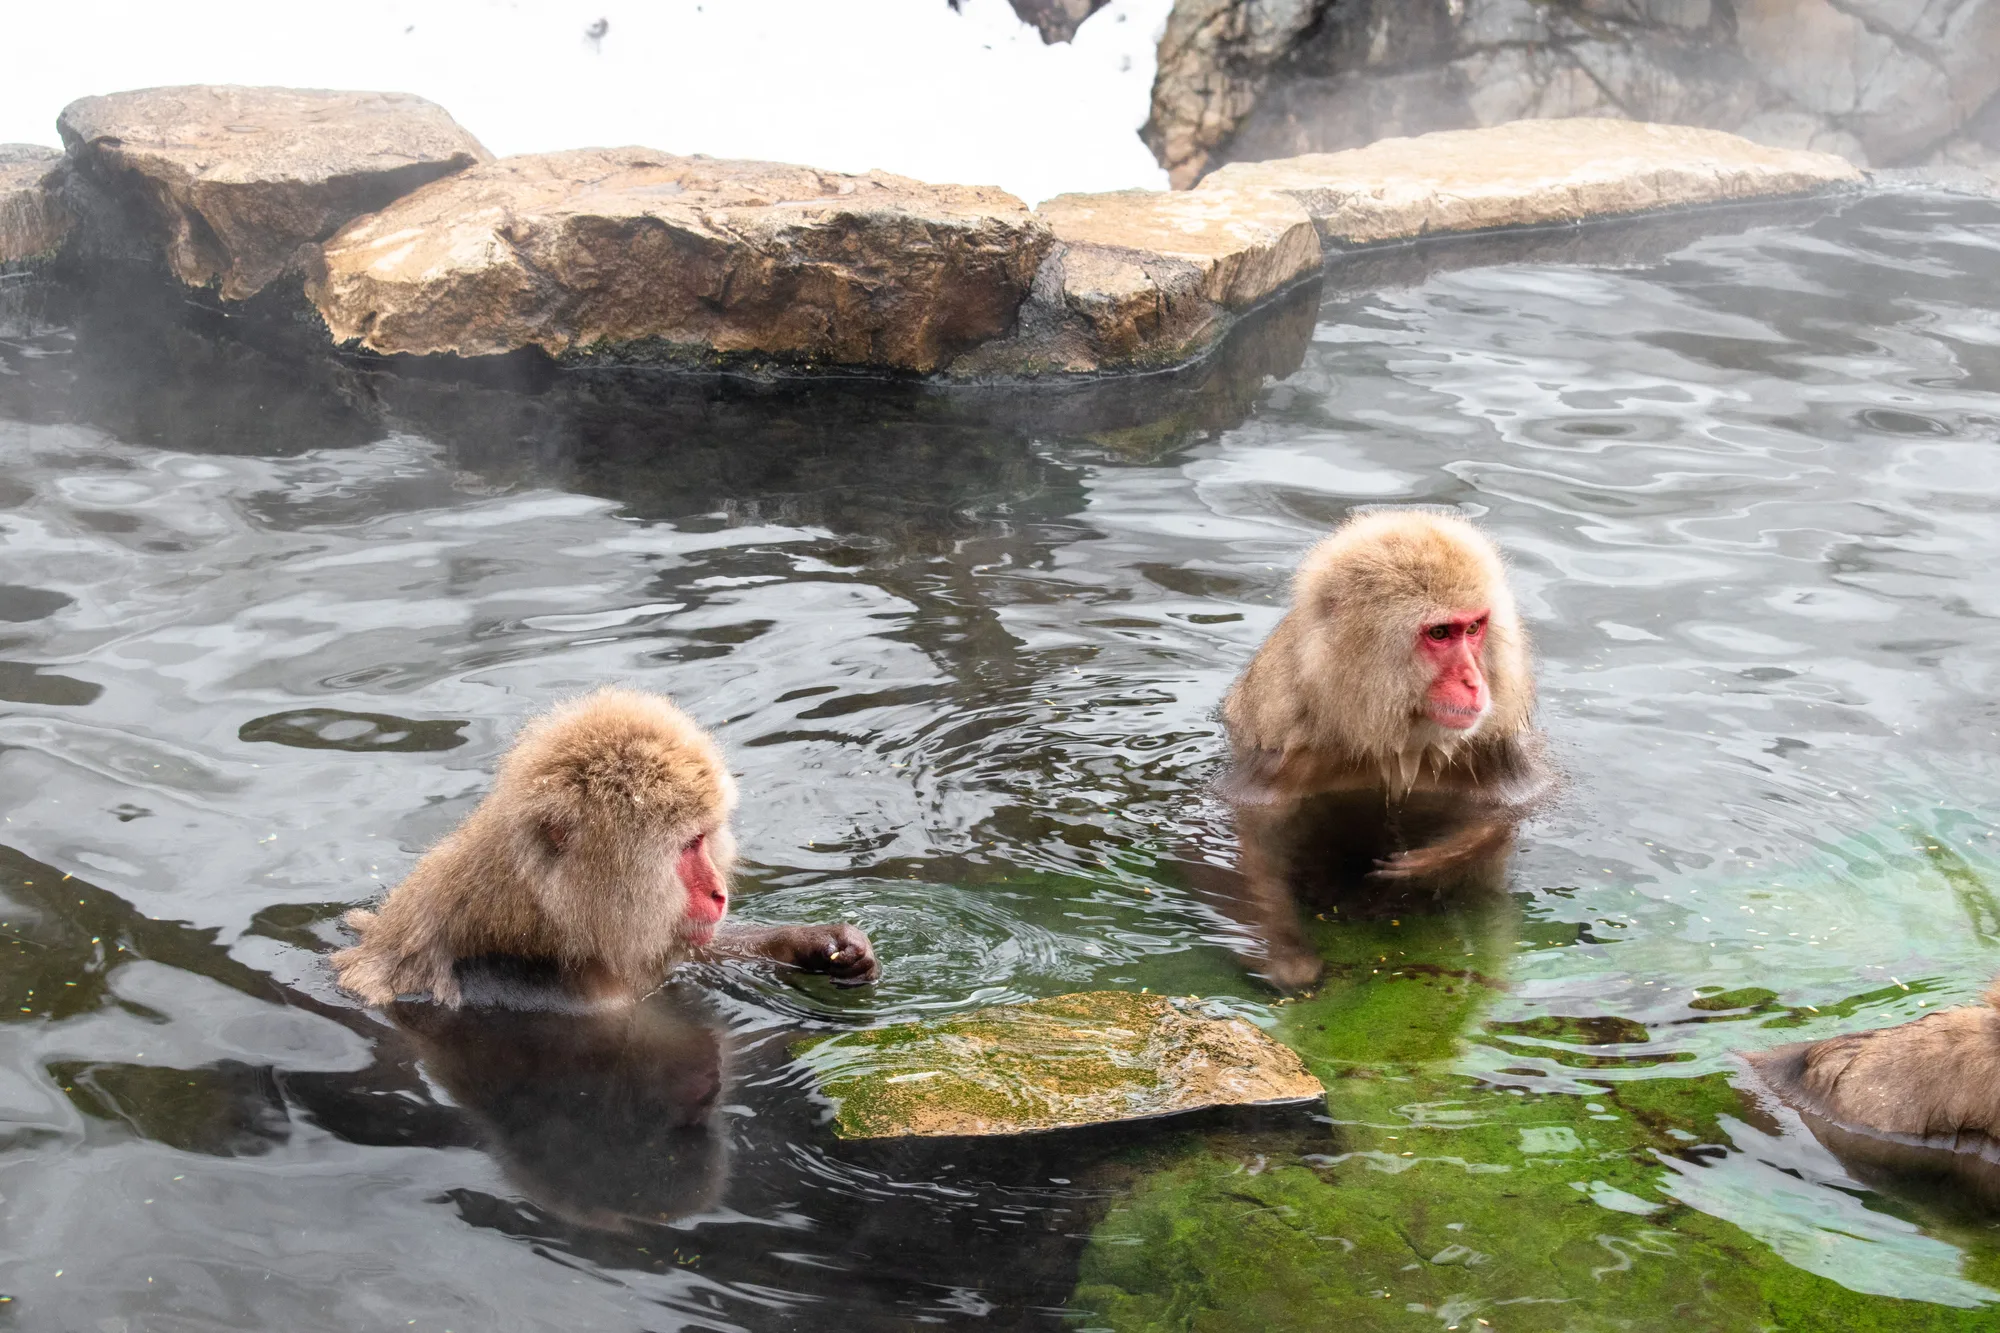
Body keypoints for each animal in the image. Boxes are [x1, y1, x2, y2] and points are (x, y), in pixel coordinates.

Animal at [1209, 508, 1553, 990]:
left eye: (1473, 628)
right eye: (1440, 633)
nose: (1474, 681)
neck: (1387, 733)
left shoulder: (1490, 742)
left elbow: (1523, 802)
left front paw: (1433, 861)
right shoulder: (1287, 756)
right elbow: (1249, 837)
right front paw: (1285, 956)